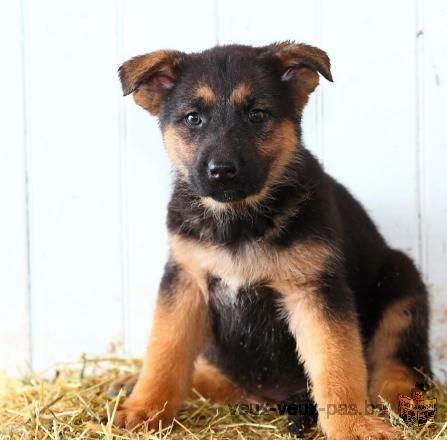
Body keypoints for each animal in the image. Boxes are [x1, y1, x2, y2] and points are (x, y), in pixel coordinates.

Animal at [112, 42, 430, 440]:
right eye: (192, 119)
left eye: (257, 115)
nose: (222, 172)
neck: (239, 220)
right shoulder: (185, 282)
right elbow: (165, 352)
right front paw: (145, 408)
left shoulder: (315, 291)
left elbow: (337, 366)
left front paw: (353, 426)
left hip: (402, 285)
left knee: (396, 362)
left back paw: (405, 400)